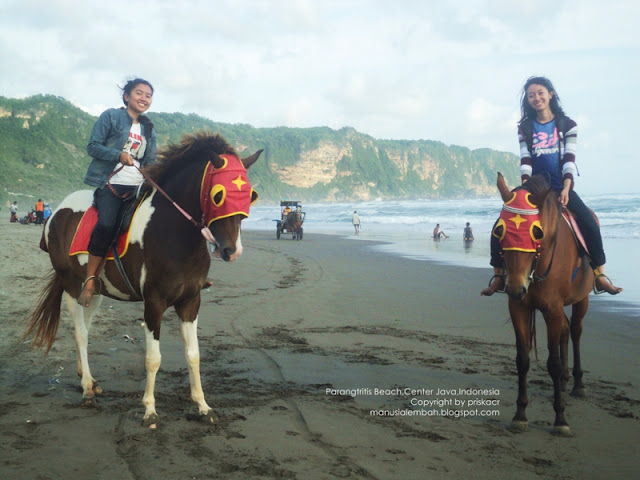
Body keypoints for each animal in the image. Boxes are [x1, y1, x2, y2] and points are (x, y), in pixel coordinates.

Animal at [23, 130, 262, 428]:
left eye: (250, 195)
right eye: (219, 194)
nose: (231, 250)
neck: (174, 232)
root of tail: (57, 212)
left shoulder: (190, 302)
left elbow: (193, 355)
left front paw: (203, 406)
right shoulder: (154, 302)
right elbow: (153, 359)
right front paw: (149, 409)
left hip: (94, 291)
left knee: (86, 328)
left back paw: (86, 380)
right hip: (71, 286)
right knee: (80, 333)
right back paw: (88, 388)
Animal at [492, 172, 592, 436]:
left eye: (537, 232)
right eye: (498, 230)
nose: (515, 287)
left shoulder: (551, 309)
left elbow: (553, 362)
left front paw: (560, 419)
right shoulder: (519, 307)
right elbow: (522, 359)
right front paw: (520, 414)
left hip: (581, 298)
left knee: (575, 330)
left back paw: (577, 384)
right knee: (566, 330)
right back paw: (566, 382)